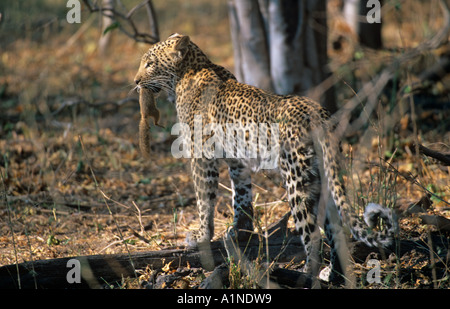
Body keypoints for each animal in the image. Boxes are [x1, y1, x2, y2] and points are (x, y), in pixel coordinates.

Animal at [134, 33, 398, 282]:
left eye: (150, 63)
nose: (135, 82)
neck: (188, 70)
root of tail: (318, 113)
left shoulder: (201, 155)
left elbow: (204, 199)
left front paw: (201, 236)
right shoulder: (236, 159)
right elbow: (241, 195)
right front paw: (240, 231)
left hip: (296, 179)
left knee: (312, 234)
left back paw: (305, 275)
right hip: (322, 179)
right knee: (336, 229)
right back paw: (333, 275)